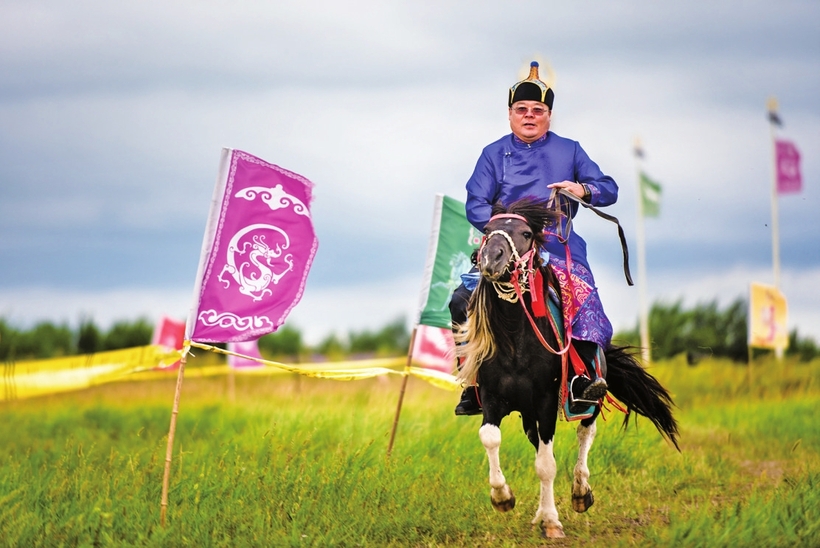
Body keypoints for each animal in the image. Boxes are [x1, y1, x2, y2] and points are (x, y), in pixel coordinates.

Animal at [454, 197, 680, 540]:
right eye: (488, 230)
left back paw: (580, 493)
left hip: (585, 398)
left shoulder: (546, 401)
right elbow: (491, 438)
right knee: (539, 445)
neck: (516, 337)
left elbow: (547, 464)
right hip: (527, 414)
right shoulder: (494, 398)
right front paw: (503, 498)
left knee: (585, 431)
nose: (491, 259)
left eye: (525, 233)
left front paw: (551, 521)